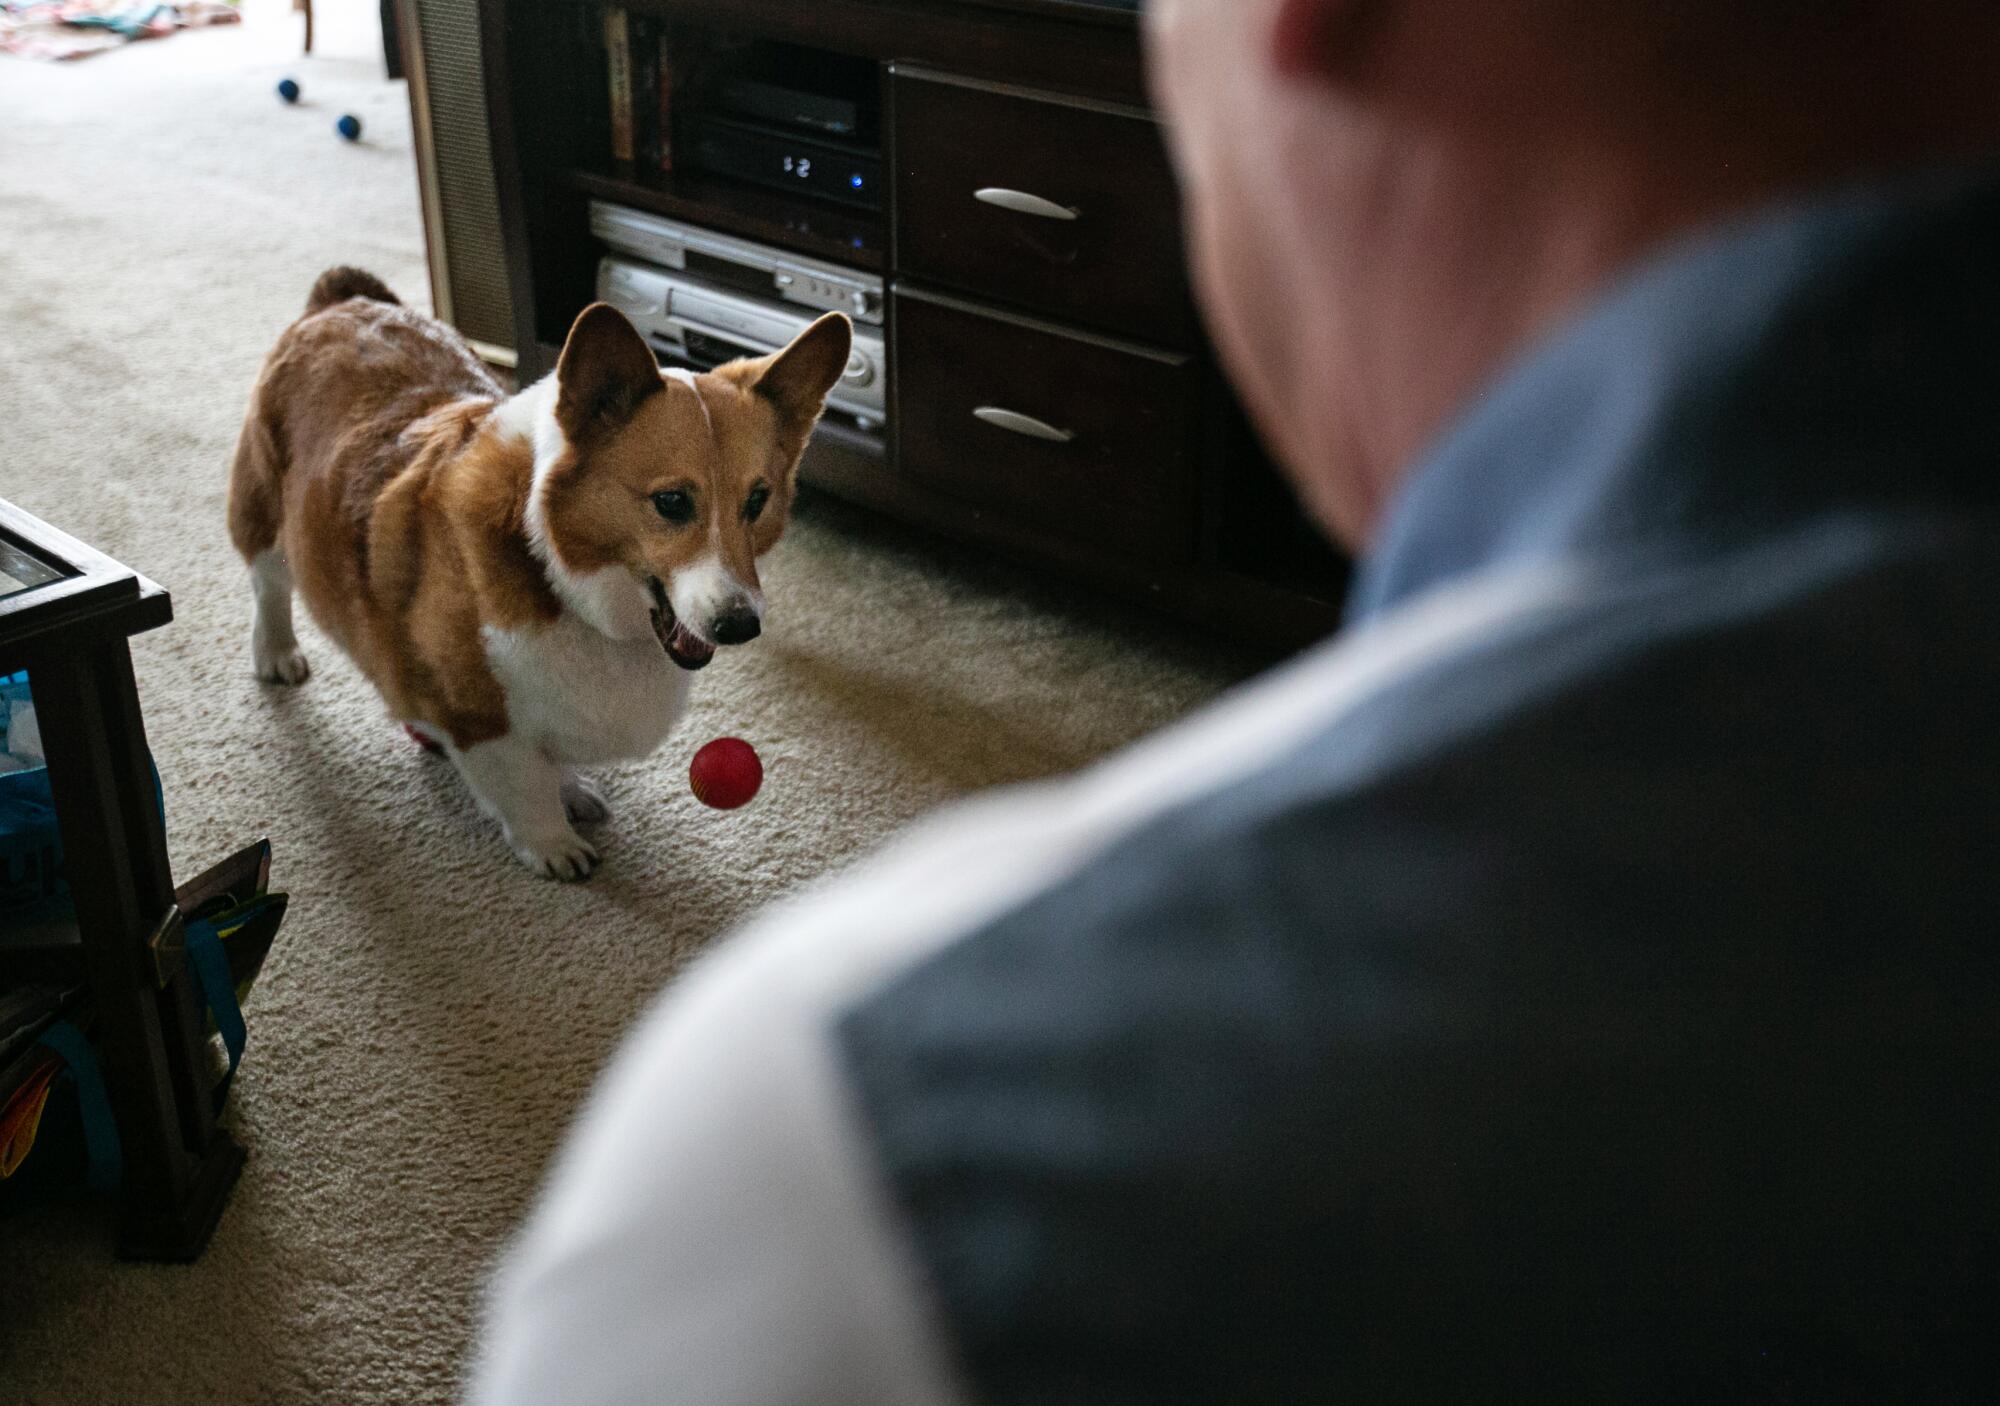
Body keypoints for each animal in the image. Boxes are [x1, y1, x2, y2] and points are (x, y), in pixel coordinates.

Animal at [229, 268, 852, 876]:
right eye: (672, 502)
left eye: (758, 500)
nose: (741, 626)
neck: (556, 570)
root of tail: (342, 301)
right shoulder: (481, 716)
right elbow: (524, 782)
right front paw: (553, 844)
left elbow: (549, 759)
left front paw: (571, 790)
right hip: (262, 514)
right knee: (268, 585)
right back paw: (277, 654)